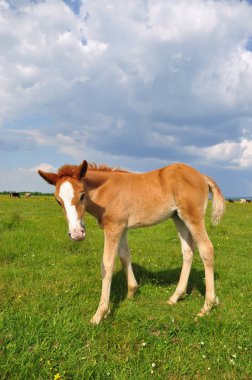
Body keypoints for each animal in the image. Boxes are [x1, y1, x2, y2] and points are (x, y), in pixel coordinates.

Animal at [38, 160, 225, 324]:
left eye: (82, 195)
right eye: (58, 200)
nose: (77, 234)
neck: (106, 191)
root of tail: (202, 176)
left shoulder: (113, 227)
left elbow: (107, 265)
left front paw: (100, 314)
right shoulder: (122, 228)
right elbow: (124, 257)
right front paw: (131, 293)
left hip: (192, 216)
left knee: (206, 249)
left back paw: (207, 306)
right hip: (178, 217)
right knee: (188, 251)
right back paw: (175, 297)